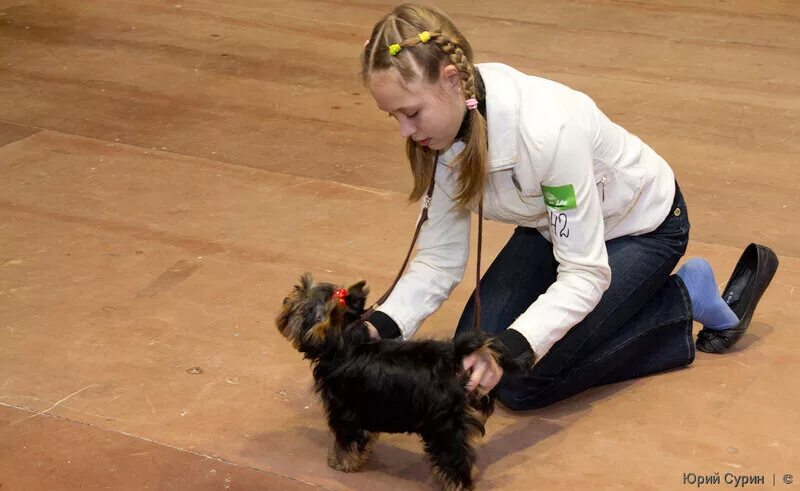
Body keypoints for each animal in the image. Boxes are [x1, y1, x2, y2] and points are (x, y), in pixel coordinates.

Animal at [276, 274, 524, 490]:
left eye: (301, 308)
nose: (286, 299)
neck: (347, 345)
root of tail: (454, 360)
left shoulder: (345, 411)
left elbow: (347, 439)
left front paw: (342, 462)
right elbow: (364, 436)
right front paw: (361, 454)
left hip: (444, 426)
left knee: (455, 459)